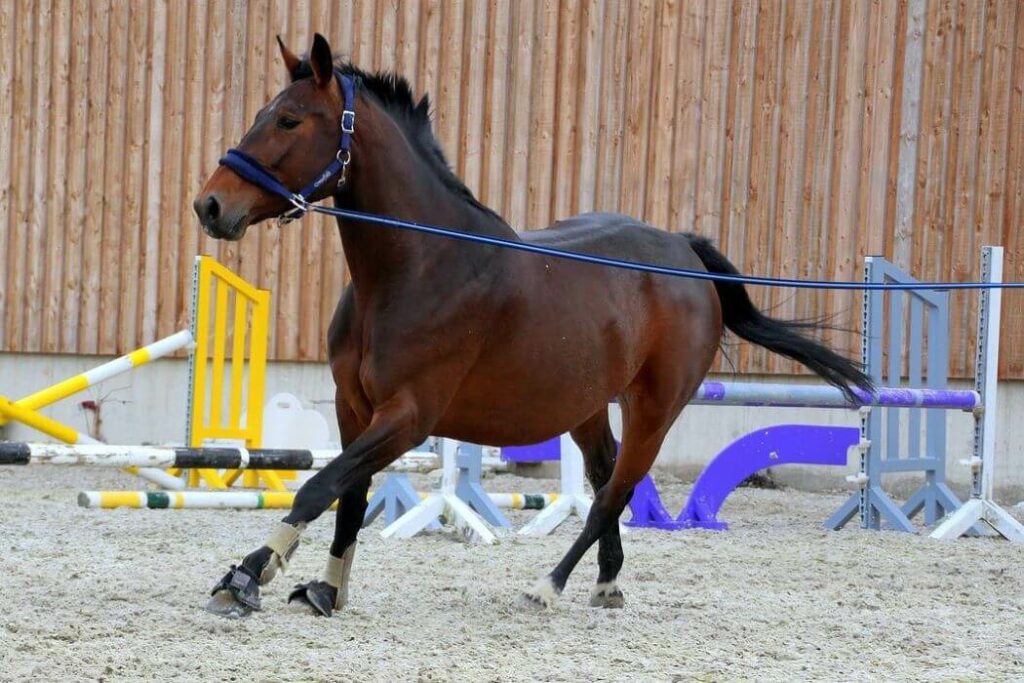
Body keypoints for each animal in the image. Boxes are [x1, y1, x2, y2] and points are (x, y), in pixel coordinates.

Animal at [194, 33, 870, 618]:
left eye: (288, 120)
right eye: (264, 113)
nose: (211, 205)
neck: (417, 267)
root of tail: (682, 251)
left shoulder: (408, 416)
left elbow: (319, 486)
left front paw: (248, 575)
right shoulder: (352, 407)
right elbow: (349, 498)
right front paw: (326, 591)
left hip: (655, 409)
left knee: (613, 494)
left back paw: (549, 586)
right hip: (589, 407)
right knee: (605, 477)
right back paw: (607, 582)